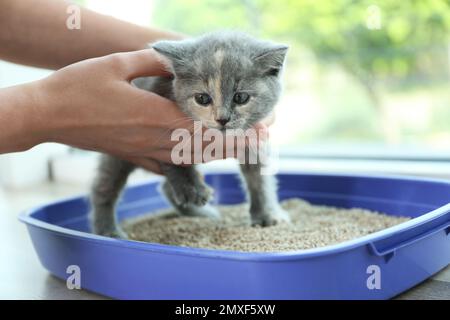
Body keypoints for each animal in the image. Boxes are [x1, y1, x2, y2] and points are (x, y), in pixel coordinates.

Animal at [89, 32, 290, 238]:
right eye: (202, 99)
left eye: (241, 97)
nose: (222, 119)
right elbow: (173, 156)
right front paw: (190, 187)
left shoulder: (254, 138)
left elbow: (259, 179)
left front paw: (267, 215)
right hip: (116, 153)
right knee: (103, 188)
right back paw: (108, 230)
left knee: (164, 188)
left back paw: (203, 214)